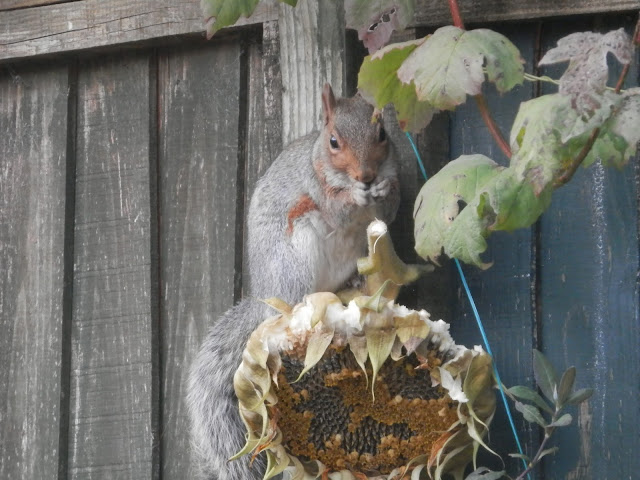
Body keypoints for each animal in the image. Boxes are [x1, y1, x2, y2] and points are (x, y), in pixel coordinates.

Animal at [182, 84, 400, 478]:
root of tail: (266, 297)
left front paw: (384, 189)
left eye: (382, 135)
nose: (366, 176)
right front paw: (355, 195)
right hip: (295, 256)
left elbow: (391, 205)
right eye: (333, 141)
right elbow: (338, 208)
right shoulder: (318, 186)